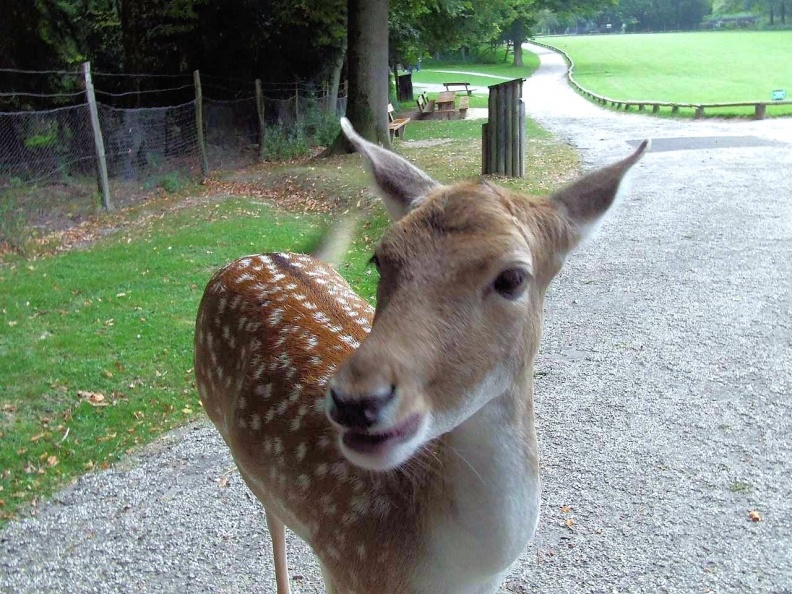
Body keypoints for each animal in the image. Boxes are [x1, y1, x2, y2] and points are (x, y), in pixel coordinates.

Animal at [195, 117, 648, 592]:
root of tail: (253, 255)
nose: (355, 401)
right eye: (378, 258)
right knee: (273, 519)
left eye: (513, 278)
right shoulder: (344, 565)